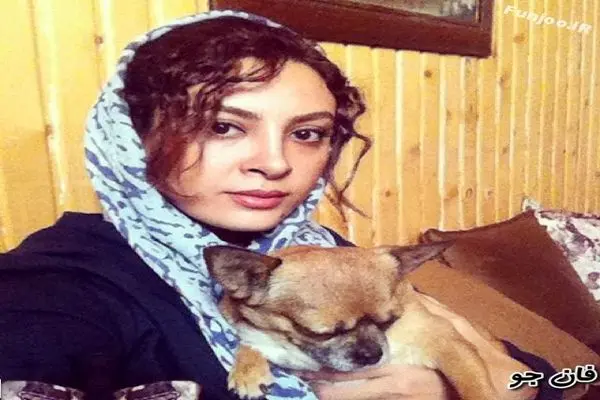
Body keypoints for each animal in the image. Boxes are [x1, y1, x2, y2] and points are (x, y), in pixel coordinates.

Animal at [204, 242, 532, 399]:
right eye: (318, 333)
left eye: (389, 322)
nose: (371, 354)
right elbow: (250, 342)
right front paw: (247, 371)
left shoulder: (449, 344)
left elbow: (475, 388)